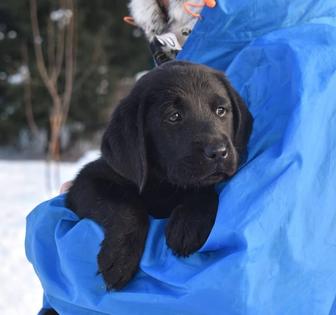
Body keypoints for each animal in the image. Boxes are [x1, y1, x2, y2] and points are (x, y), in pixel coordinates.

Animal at [65, 61, 252, 292]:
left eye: (221, 110)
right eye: (174, 116)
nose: (218, 152)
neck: (164, 184)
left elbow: (202, 189)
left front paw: (189, 223)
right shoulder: (87, 181)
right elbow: (126, 207)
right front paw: (119, 258)